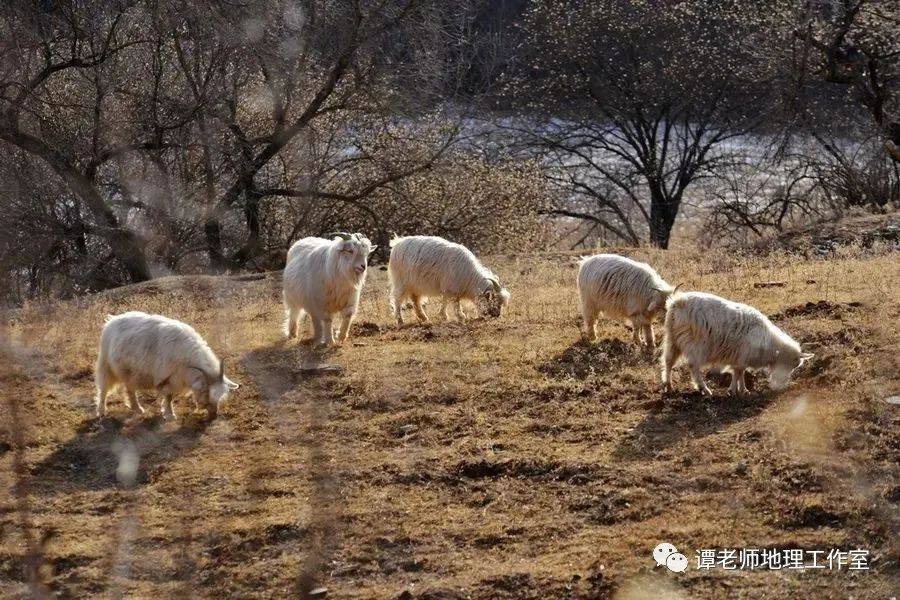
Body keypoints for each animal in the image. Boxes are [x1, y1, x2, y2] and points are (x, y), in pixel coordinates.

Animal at [96, 312, 239, 420]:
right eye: (206, 392)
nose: (214, 415)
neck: (187, 356)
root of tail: (112, 320)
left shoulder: (175, 379)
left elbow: (169, 397)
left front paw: (166, 412)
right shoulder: (167, 377)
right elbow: (169, 397)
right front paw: (170, 415)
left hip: (129, 372)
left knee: (130, 388)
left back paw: (137, 408)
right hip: (106, 364)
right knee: (103, 389)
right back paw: (102, 411)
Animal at [660, 292, 816, 396]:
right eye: (791, 366)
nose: (783, 386)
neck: (771, 346)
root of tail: (677, 302)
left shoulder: (739, 358)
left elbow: (739, 372)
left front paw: (741, 389)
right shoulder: (742, 355)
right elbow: (739, 372)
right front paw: (737, 390)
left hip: (672, 340)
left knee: (668, 362)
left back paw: (669, 385)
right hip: (696, 345)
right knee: (693, 367)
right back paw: (704, 389)